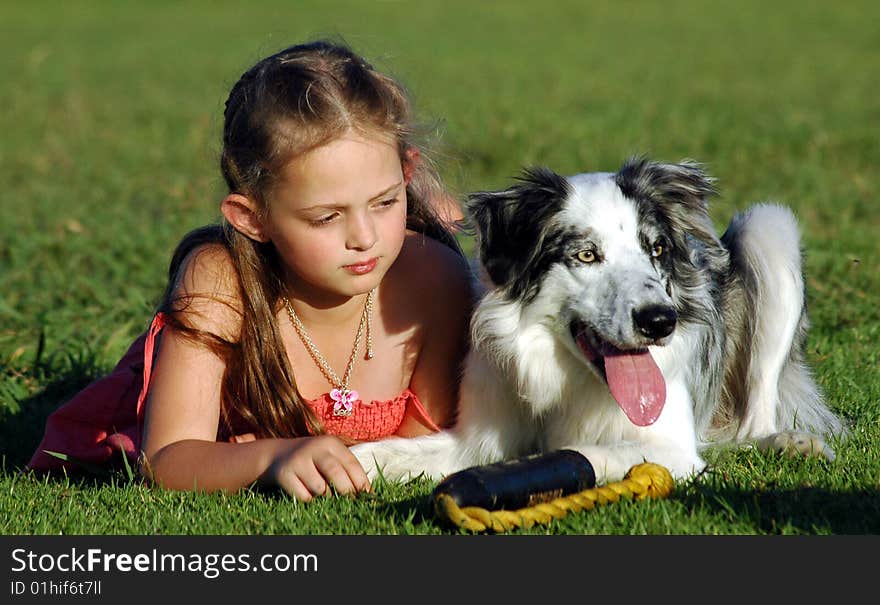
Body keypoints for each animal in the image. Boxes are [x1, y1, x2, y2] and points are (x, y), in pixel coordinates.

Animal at [348, 158, 844, 484]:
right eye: (586, 255)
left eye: (657, 249)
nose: (660, 322)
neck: (563, 377)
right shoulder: (475, 439)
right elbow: (385, 454)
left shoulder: (669, 447)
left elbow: (578, 451)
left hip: (769, 229)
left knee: (753, 421)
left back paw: (789, 442)